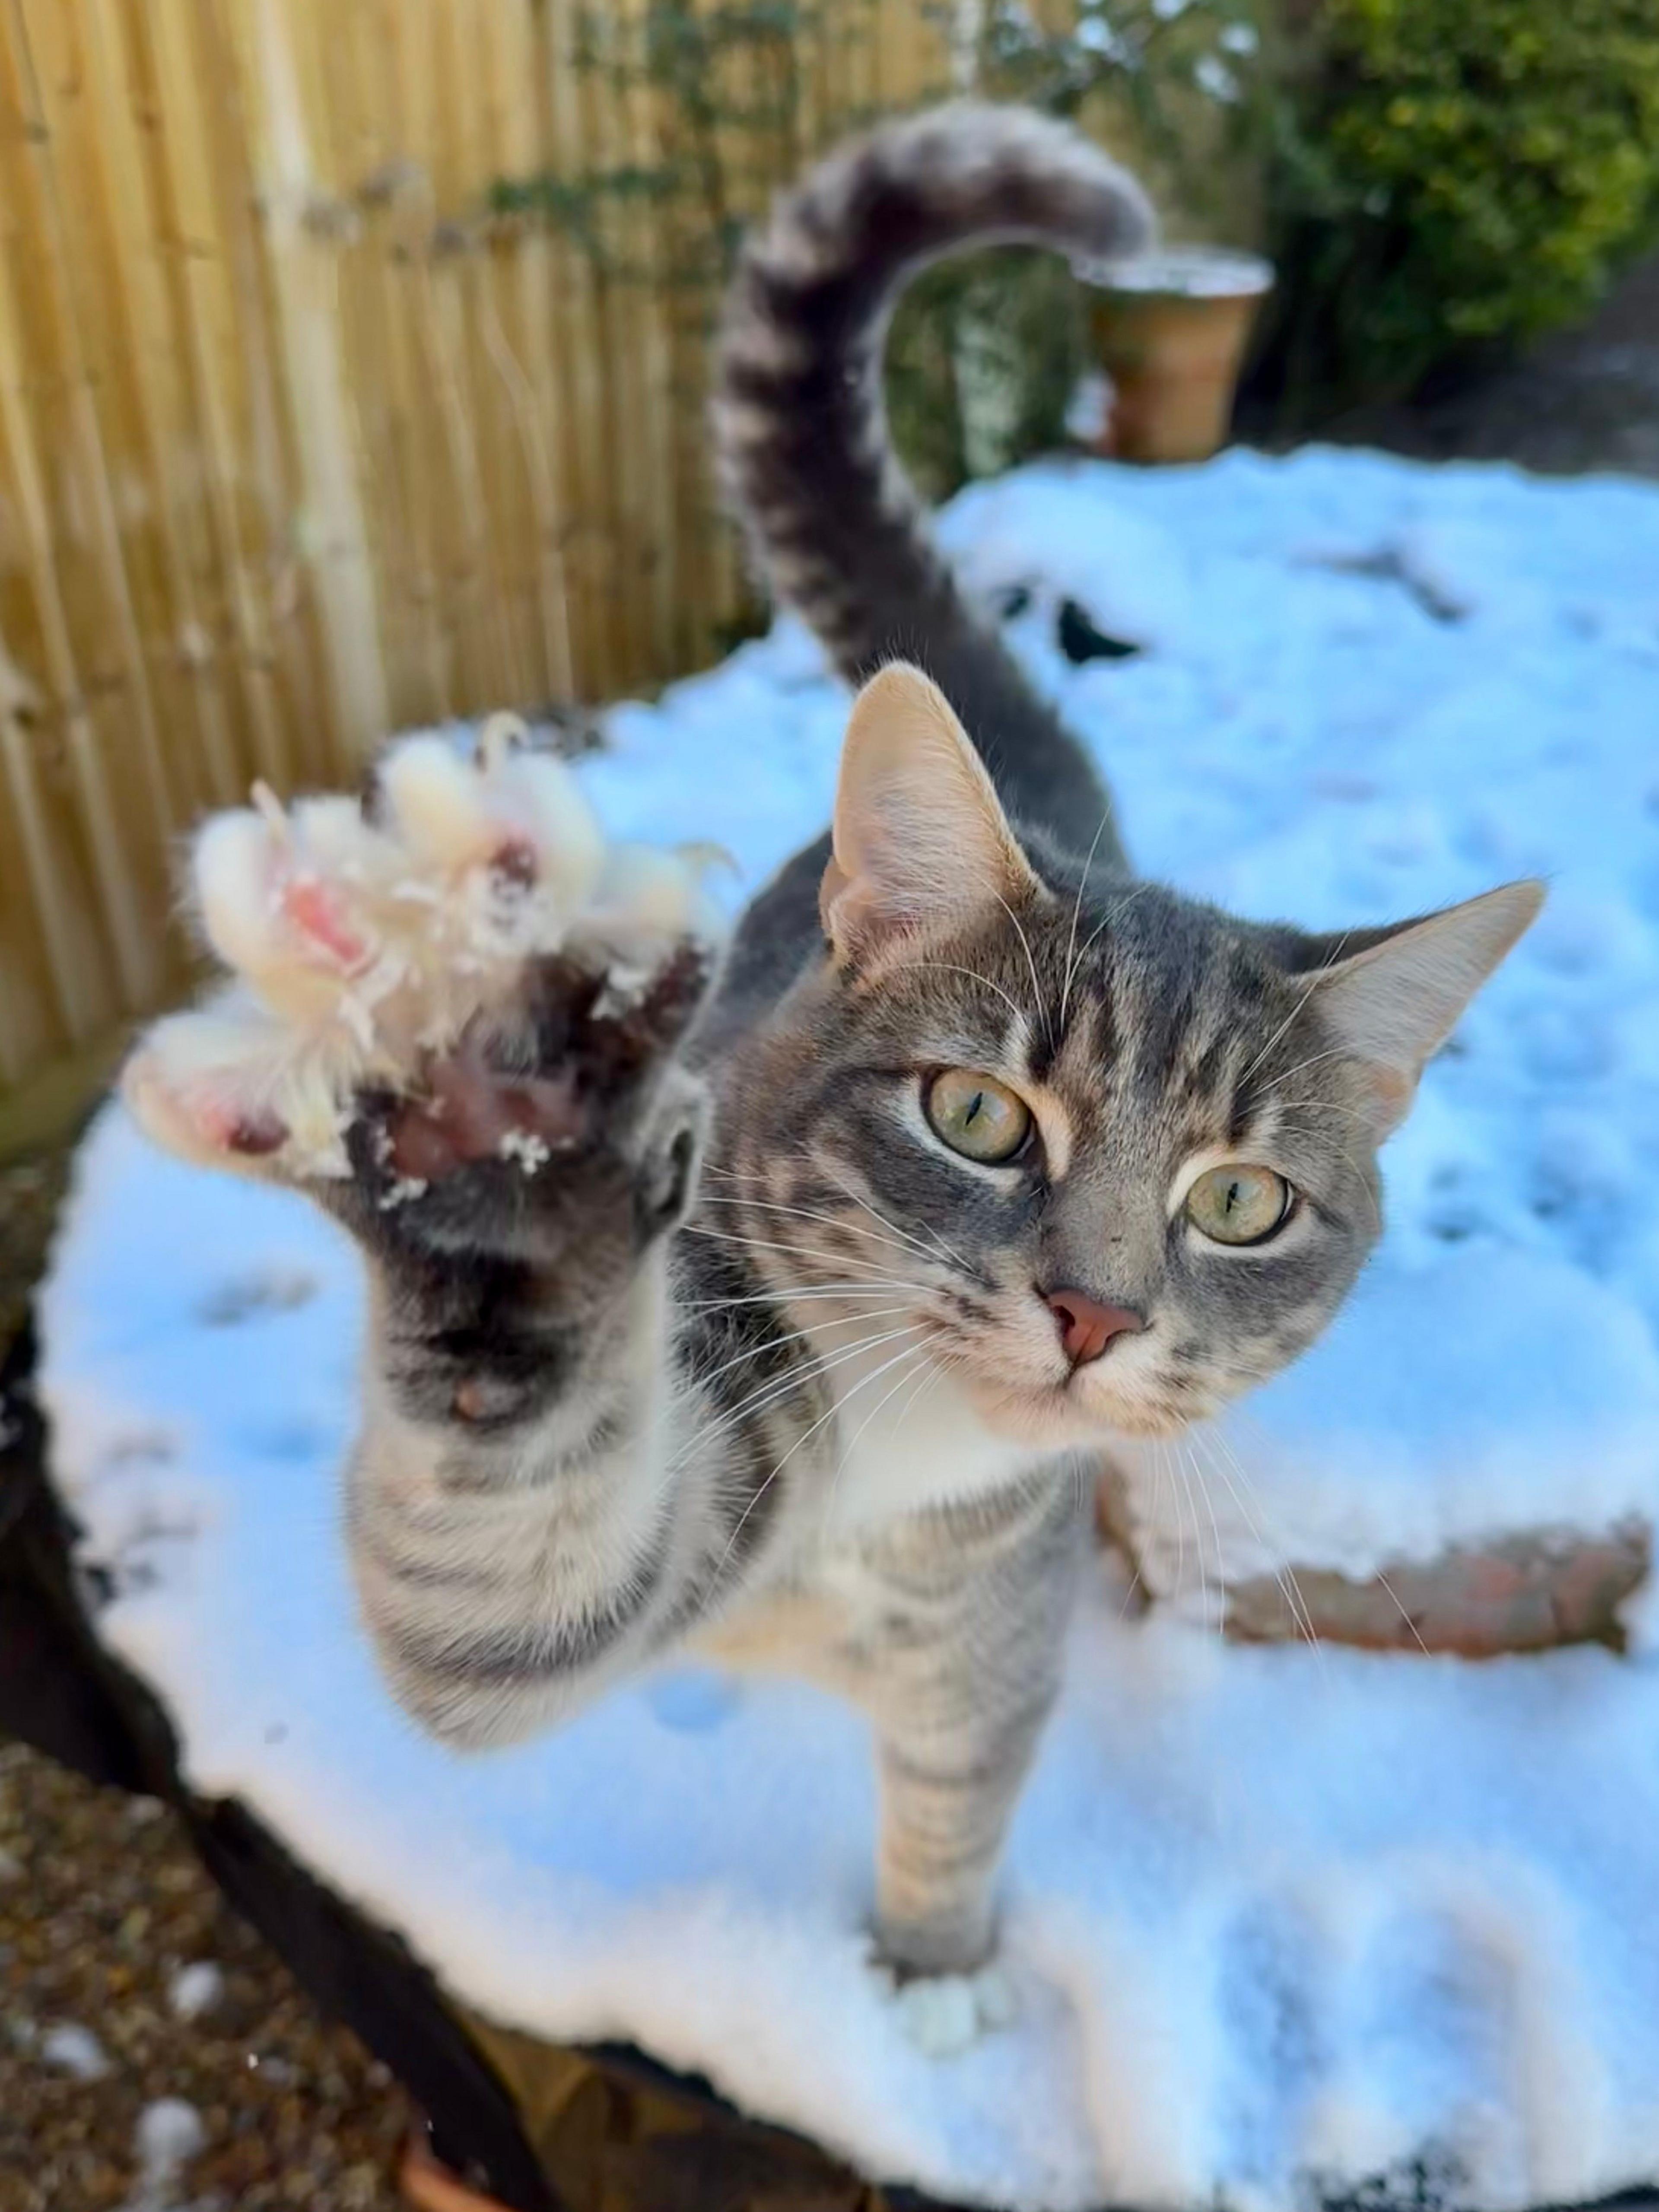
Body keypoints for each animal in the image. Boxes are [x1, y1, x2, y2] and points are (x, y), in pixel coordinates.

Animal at [127, 108, 1548, 2035]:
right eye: (979, 1113)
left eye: (1243, 1203)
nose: (1092, 1314)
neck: (898, 1481)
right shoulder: (652, 1476)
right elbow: (503, 1577)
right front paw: (486, 1120)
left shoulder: (995, 1626)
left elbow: (961, 1788)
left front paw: (933, 1977)